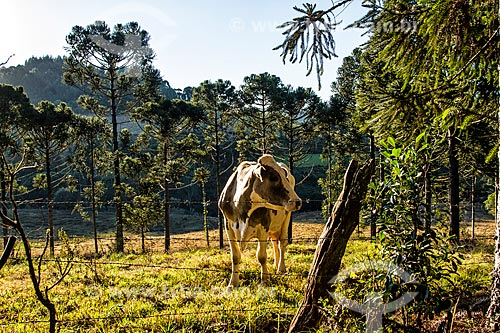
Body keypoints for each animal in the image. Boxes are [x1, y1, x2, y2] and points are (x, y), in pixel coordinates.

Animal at [218, 154, 300, 286]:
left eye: (284, 175)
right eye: (273, 177)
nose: (297, 201)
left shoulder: (263, 226)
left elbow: (261, 256)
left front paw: (265, 281)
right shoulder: (228, 226)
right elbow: (235, 256)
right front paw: (233, 283)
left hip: (286, 217)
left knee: (282, 242)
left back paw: (281, 268)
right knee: (275, 242)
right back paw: (275, 264)